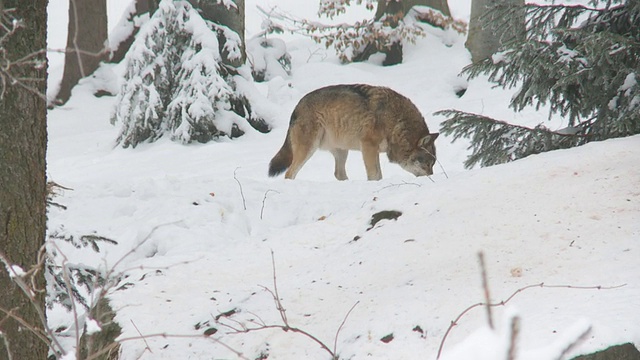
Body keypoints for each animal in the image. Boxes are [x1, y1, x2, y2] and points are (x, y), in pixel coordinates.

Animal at [268, 83, 438, 180]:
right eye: (427, 163)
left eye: (433, 164)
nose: (432, 178)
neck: (395, 122)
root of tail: (296, 108)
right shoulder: (368, 146)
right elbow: (375, 175)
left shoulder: (373, 149)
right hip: (308, 149)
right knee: (289, 173)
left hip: (342, 152)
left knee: (338, 174)